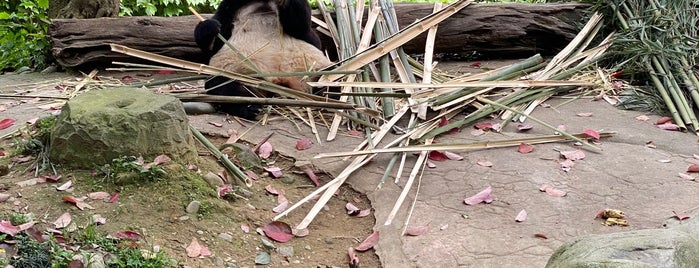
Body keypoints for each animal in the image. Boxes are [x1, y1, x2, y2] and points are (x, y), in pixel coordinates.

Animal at [191, 0, 334, 119]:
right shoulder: (230, 6)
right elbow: (215, 43)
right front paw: (209, 27)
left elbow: (305, 30)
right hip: (239, 73)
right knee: (221, 84)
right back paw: (249, 107)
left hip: (312, 69)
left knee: (331, 75)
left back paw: (328, 97)